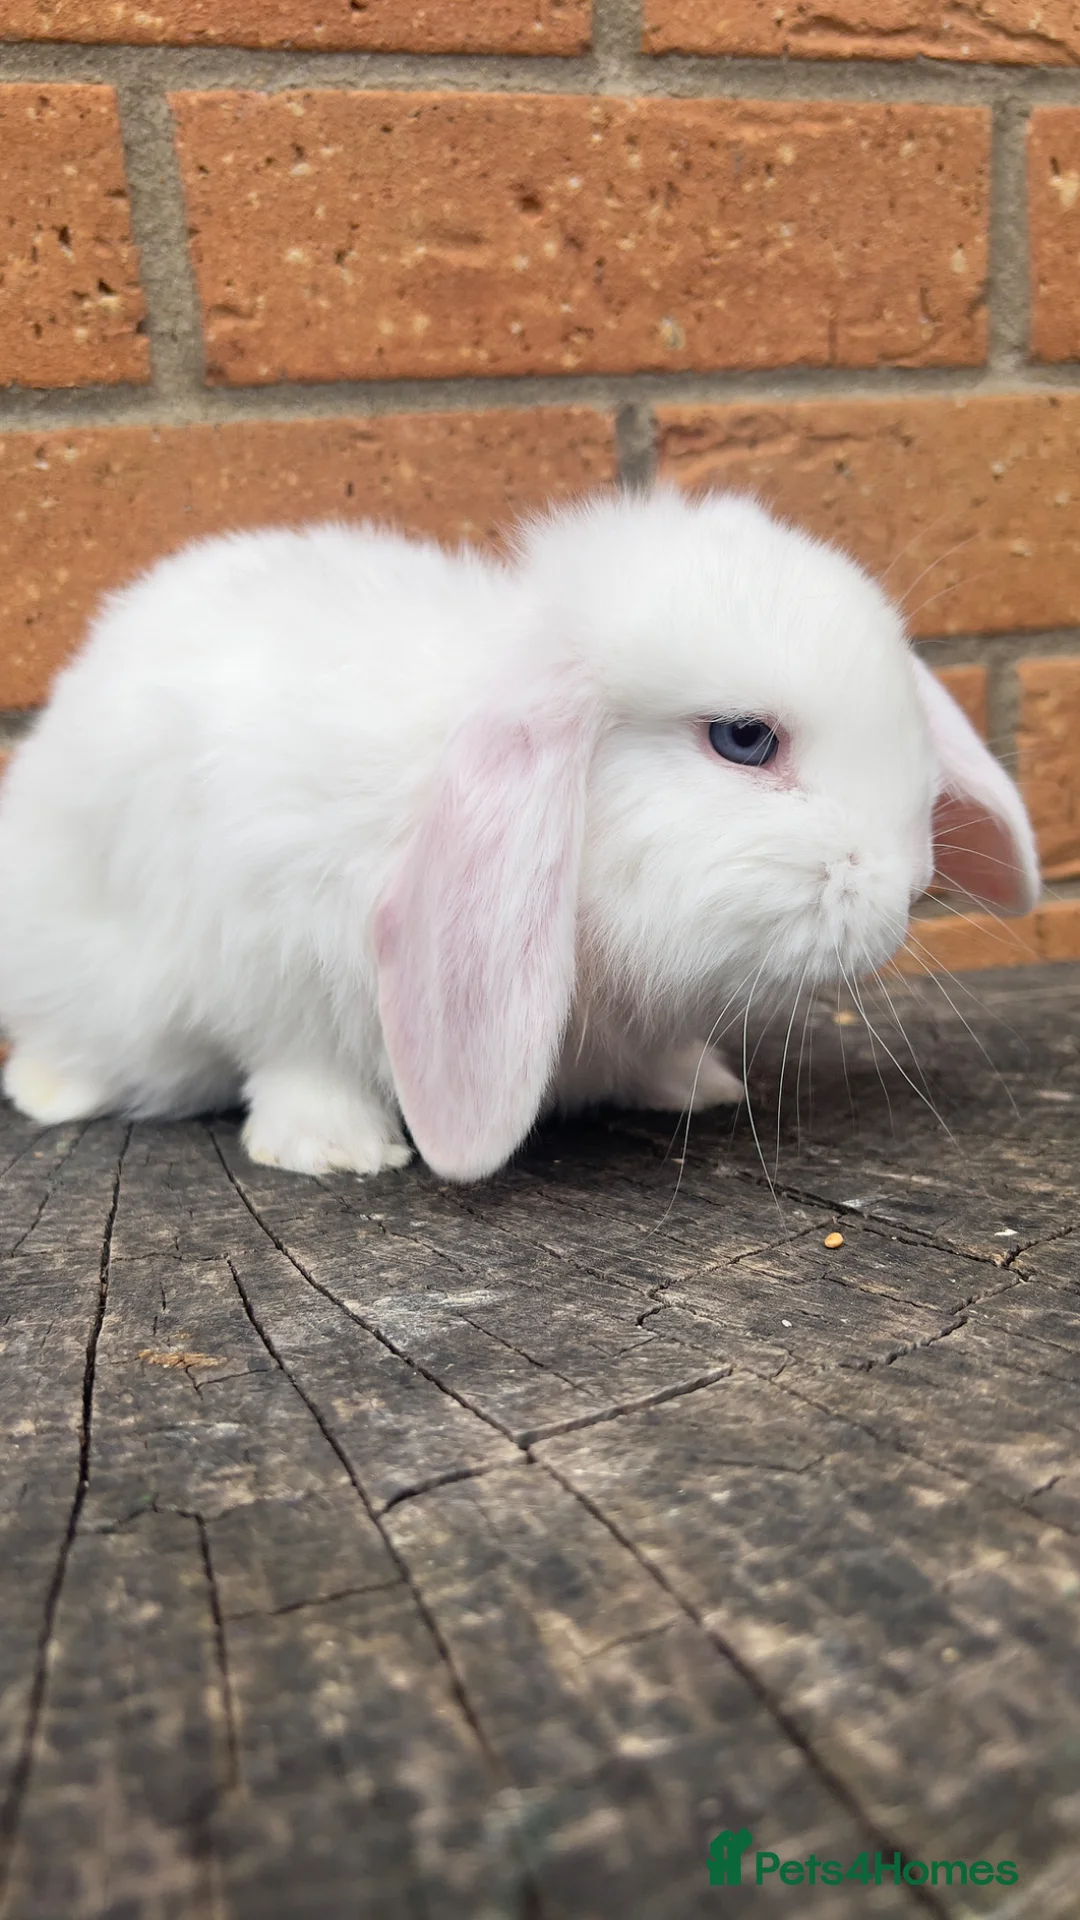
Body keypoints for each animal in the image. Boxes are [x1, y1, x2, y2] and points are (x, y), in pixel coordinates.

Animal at [0, 487, 1039, 1182]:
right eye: (744, 739)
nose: (909, 884)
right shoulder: (269, 952)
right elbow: (301, 1061)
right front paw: (339, 1152)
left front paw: (697, 1084)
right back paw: (48, 1090)